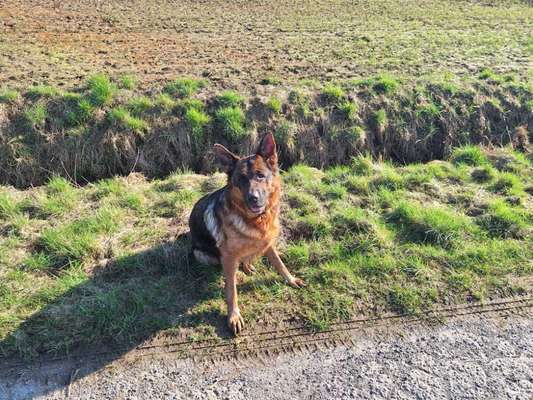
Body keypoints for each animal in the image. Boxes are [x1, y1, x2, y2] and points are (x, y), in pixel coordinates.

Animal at [188, 134, 304, 334]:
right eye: (241, 179)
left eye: (260, 175)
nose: (253, 198)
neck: (255, 220)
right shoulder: (228, 257)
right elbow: (231, 290)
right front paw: (233, 316)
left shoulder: (267, 242)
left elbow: (279, 263)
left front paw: (290, 279)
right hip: (202, 254)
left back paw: (248, 265)